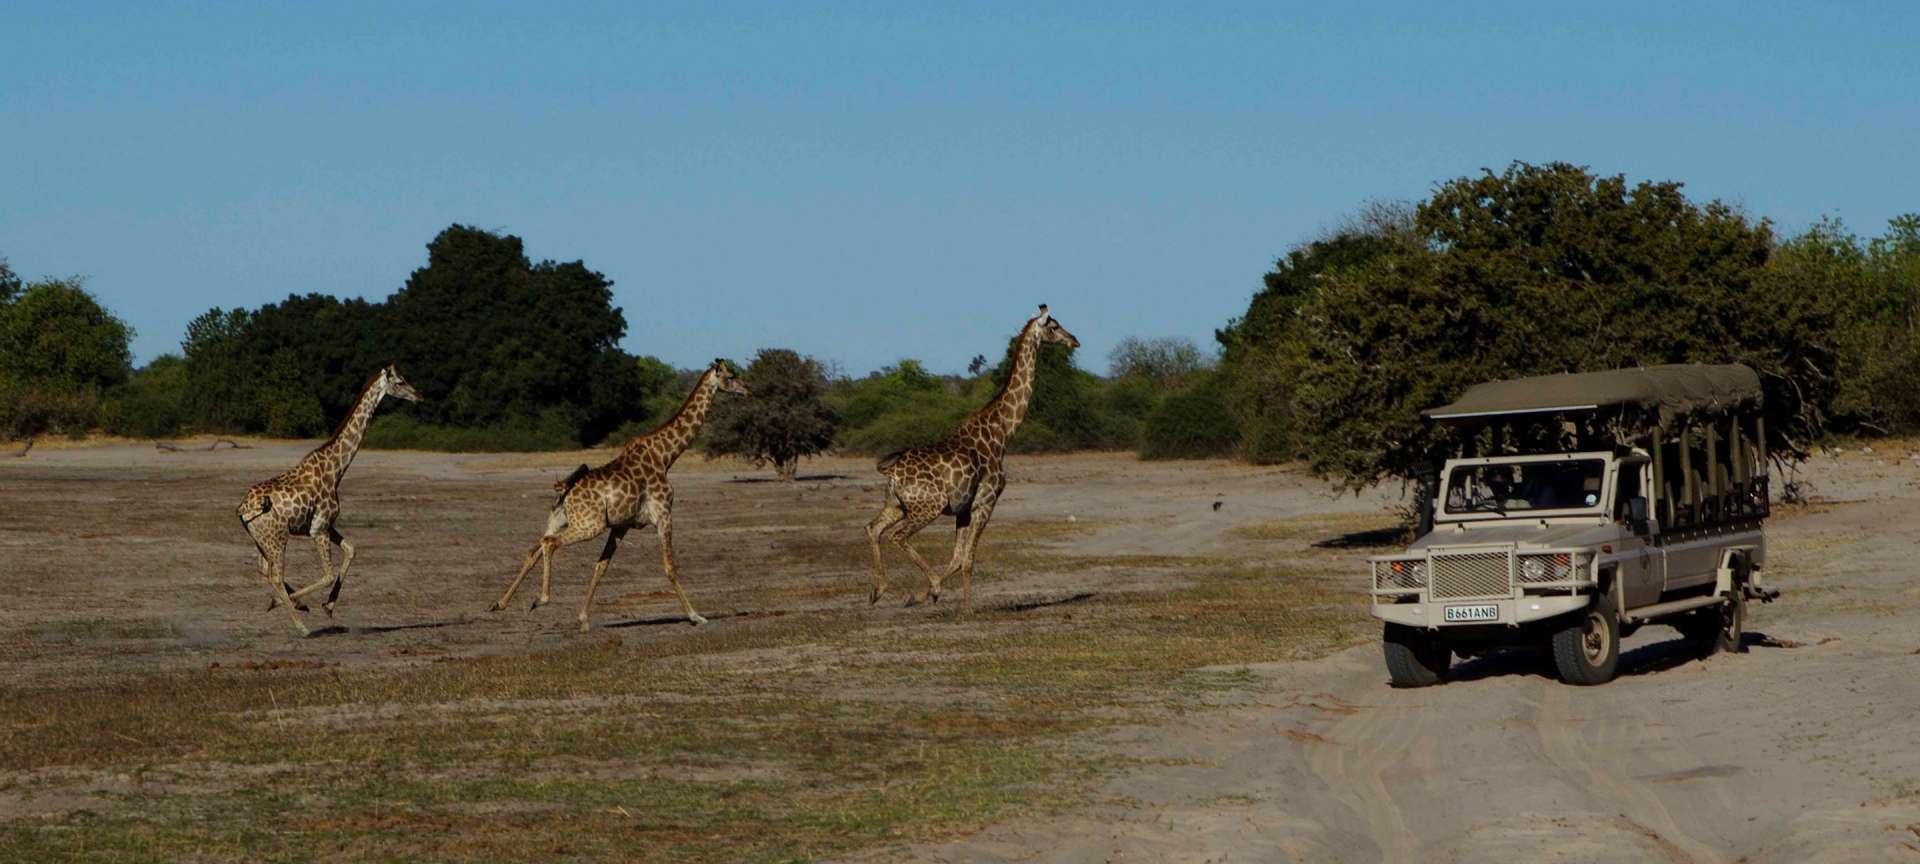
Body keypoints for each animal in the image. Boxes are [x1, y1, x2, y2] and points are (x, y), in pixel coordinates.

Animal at [235, 362, 420, 633]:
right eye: (400, 381)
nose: (419, 396)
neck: (336, 469)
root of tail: (243, 509)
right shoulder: (319, 529)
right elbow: (327, 575)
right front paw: (298, 605)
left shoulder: (326, 525)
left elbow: (352, 549)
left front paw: (328, 606)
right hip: (277, 538)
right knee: (275, 574)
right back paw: (301, 625)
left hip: (262, 538)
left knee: (264, 568)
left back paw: (296, 605)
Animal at [491, 357, 752, 633]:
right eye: (731, 376)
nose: (748, 389)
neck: (666, 456)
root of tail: (566, 490)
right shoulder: (664, 514)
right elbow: (670, 566)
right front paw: (695, 616)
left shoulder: (621, 525)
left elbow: (601, 565)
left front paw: (583, 618)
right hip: (589, 525)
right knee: (549, 543)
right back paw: (540, 599)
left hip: (560, 519)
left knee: (535, 548)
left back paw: (499, 603)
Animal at [871, 303, 1082, 606]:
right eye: (1053, 326)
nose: (1074, 340)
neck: (1002, 433)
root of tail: (892, 472)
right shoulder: (986, 502)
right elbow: (968, 559)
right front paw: (964, 607)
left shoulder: (963, 508)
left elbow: (958, 557)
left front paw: (922, 596)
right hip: (929, 506)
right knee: (897, 536)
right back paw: (931, 586)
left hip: (897, 505)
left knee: (873, 528)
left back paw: (878, 589)